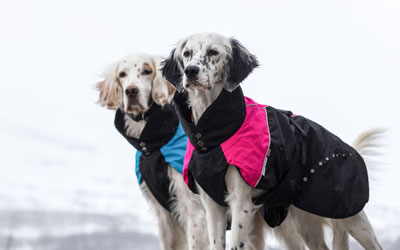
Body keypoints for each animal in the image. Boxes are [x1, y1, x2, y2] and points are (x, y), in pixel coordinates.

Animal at [95, 51, 208, 249]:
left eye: (147, 71)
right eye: (122, 74)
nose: (131, 91)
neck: (157, 144)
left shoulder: (196, 213)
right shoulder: (165, 216)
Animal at [161, 33, 382, 250]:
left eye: (213, 52)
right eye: (187, 53)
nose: (190, 71)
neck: (213, 137)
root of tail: (347, 148)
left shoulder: (241, 203)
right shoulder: (212, 206)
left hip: (350, 216)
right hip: (306, 221)